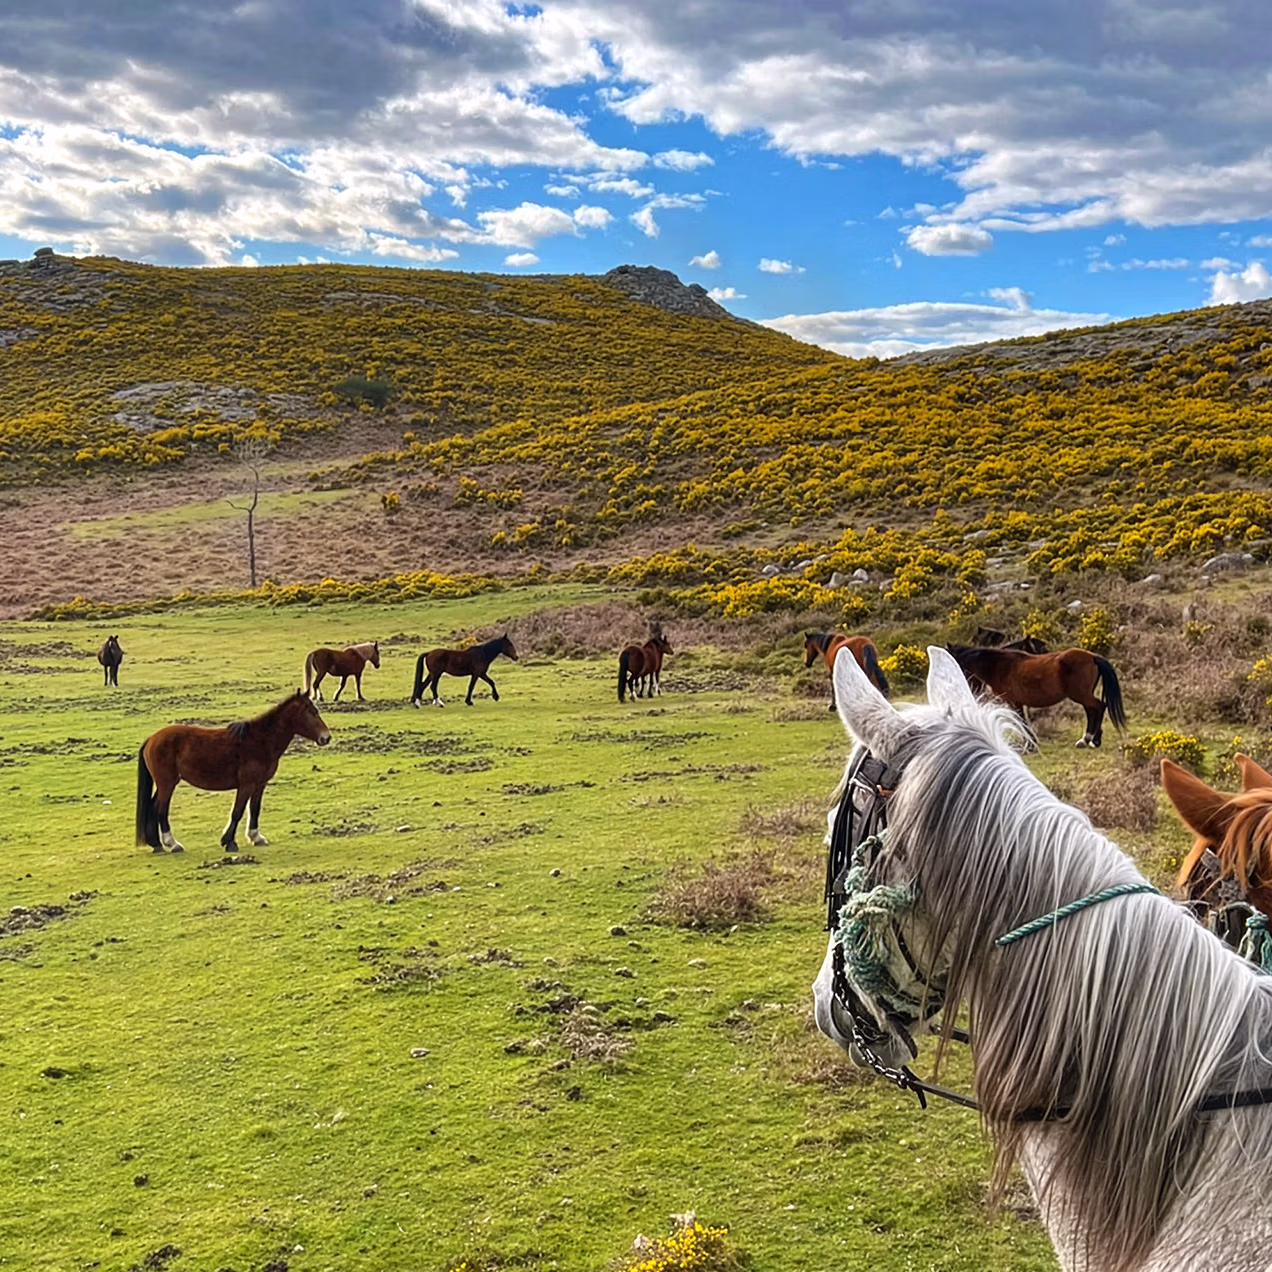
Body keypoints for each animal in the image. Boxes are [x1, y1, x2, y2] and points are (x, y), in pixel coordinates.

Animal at [135, 690, 331, 854]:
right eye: (312, 712)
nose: (326, 737)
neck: (259, 741)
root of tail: (152, 739)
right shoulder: (246, 785)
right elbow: (237, 812)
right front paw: (229, 842)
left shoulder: (259, 784)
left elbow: (254, 809)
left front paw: (256, 837)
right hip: (167, 783)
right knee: (160, 810)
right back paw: (172, 844)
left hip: (164, 784)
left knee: (153, 807)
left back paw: (157, 844)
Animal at [945, 643, 1126, 747]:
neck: (999, 666)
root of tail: (1093, 657)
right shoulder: (1017, 702)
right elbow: (1022, 720)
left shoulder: (1013, 701)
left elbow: (1021, 721)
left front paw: (1030, 745)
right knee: (1093, 710)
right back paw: (1093, 740)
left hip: (1080, 694)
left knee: (1098, 707)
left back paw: (1087, 740)